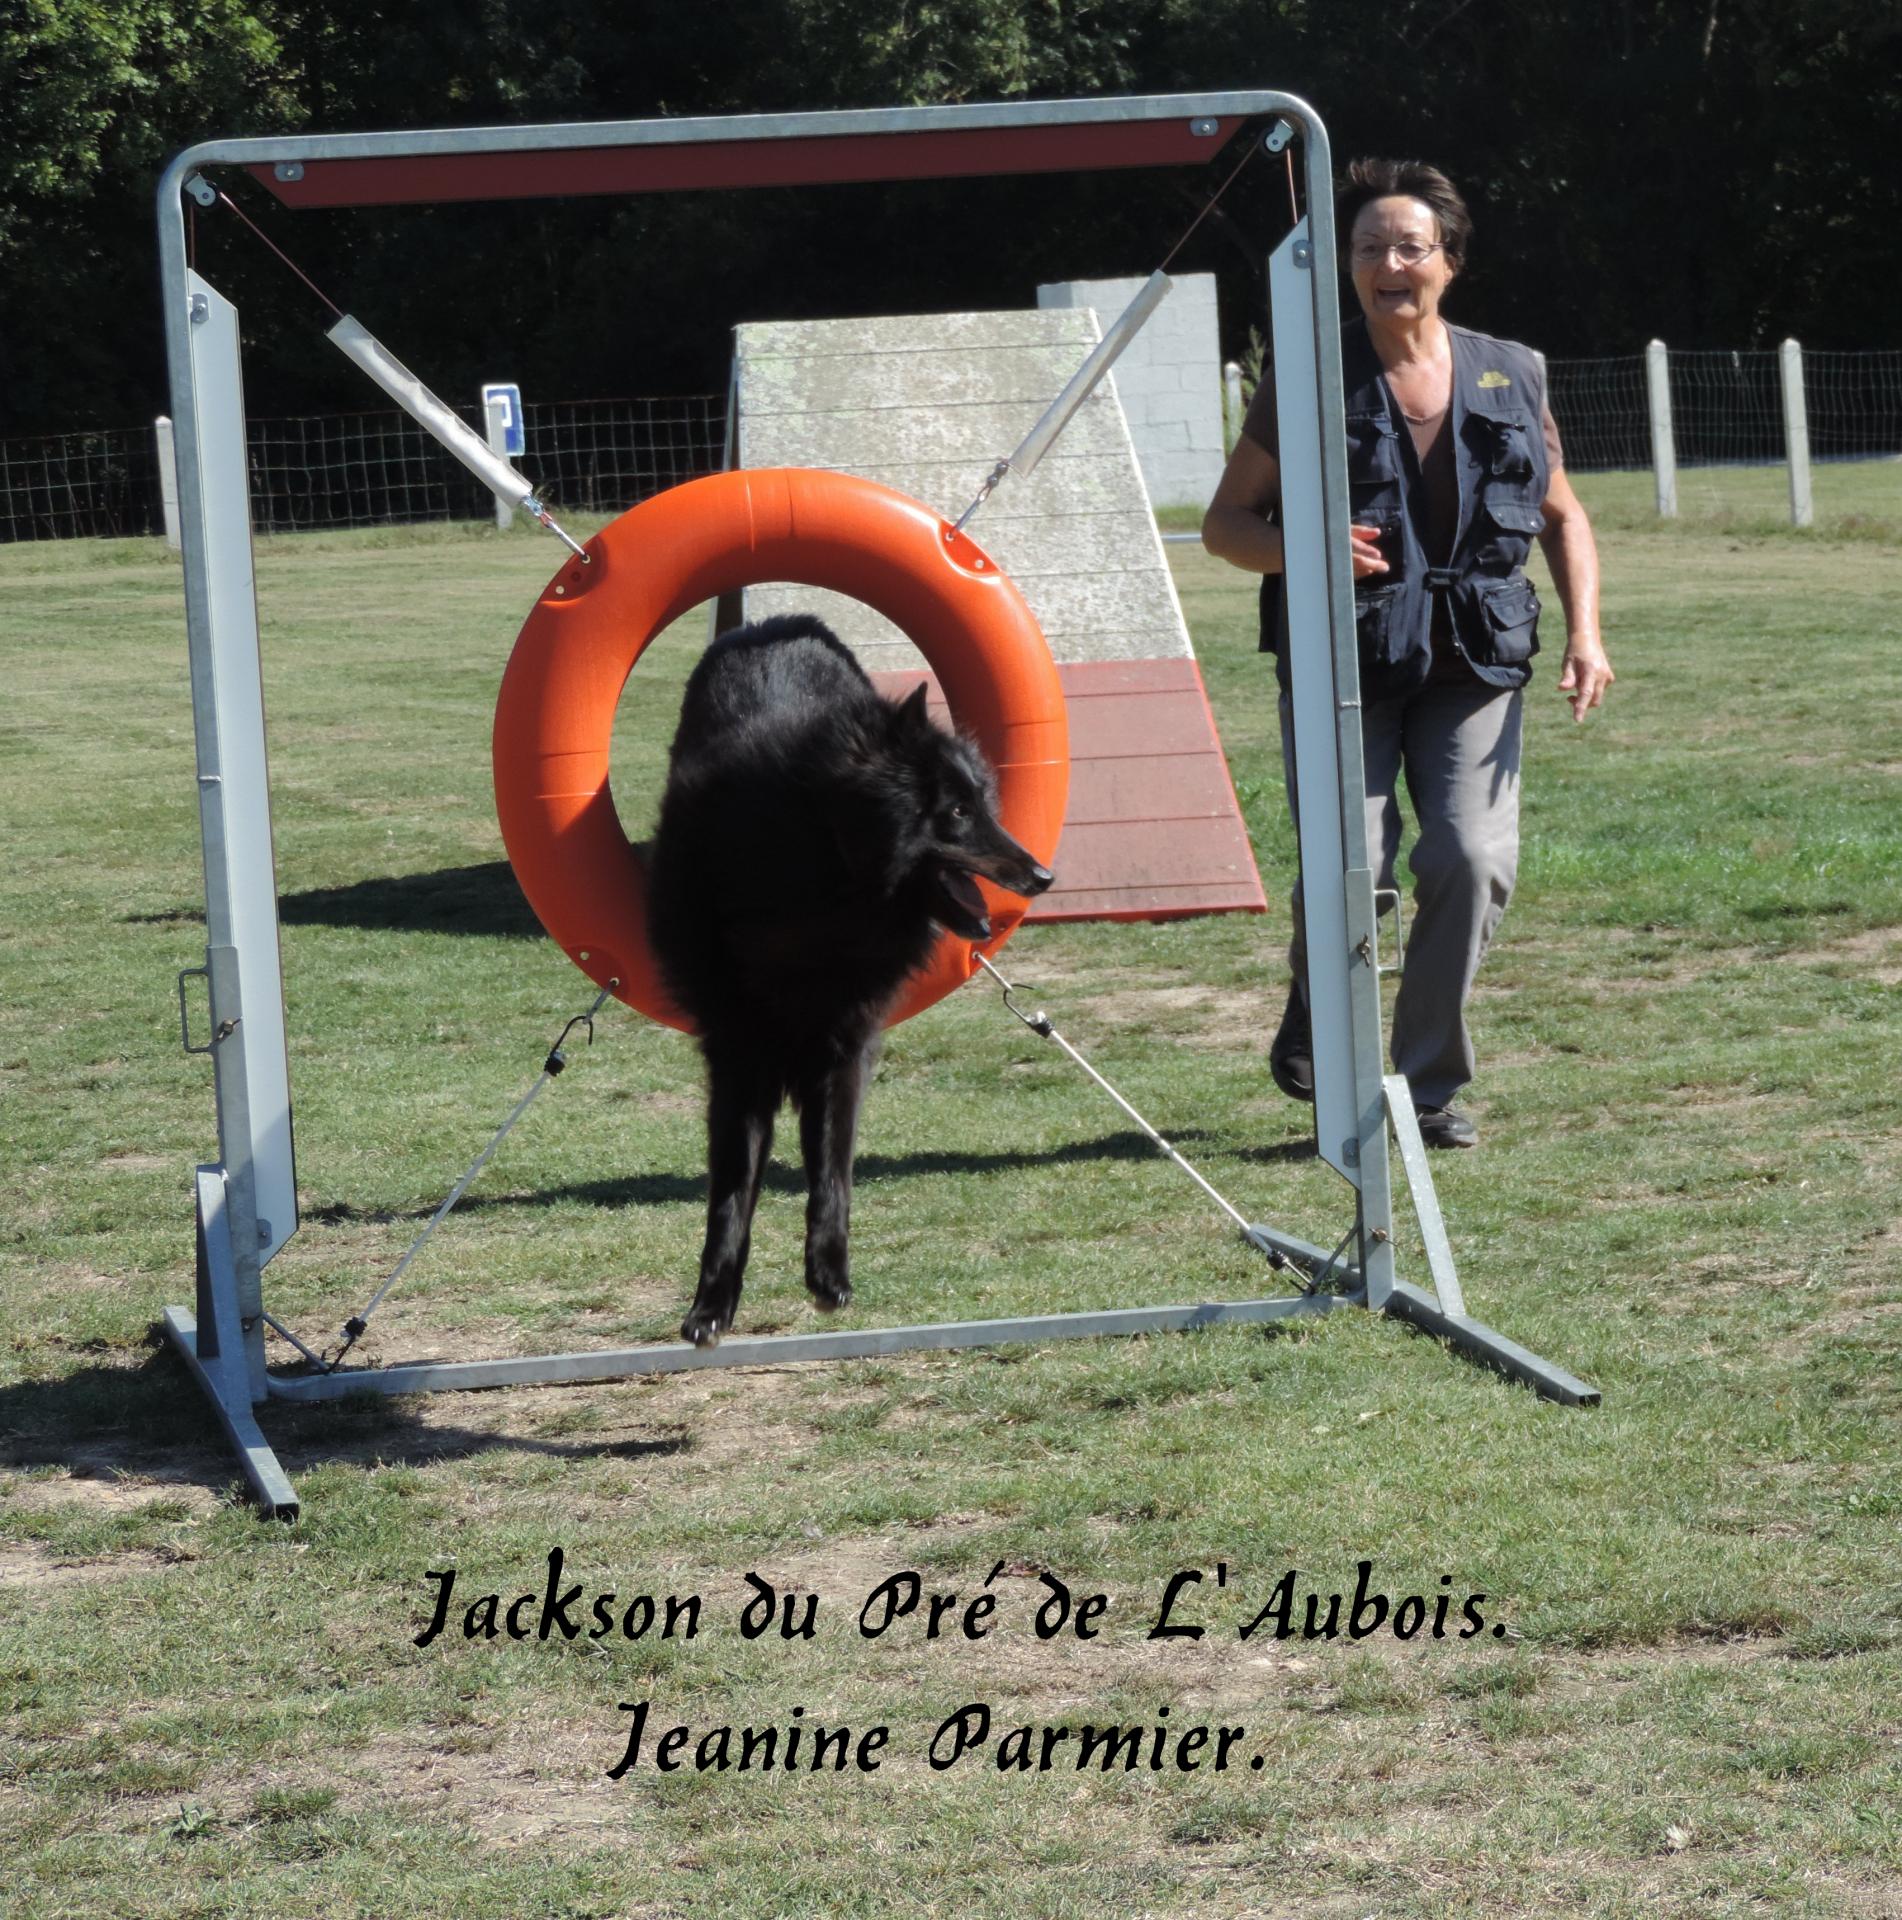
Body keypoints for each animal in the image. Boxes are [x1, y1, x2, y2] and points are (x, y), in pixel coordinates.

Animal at [648, 618, 1051, 1351]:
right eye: (956, 812)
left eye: (984, 803)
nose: (1043, 876)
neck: (826, 869)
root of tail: (778, 625)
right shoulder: (739, 1053)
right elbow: (731, 1189)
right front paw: (711, 1304)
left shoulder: (842, 1048)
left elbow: (831, 1172)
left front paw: (827, 1273)